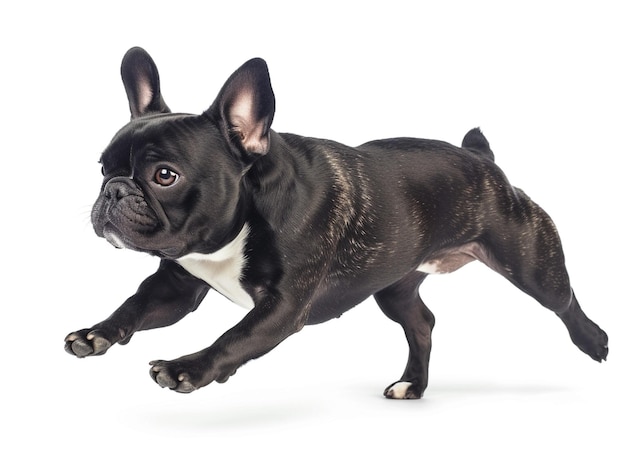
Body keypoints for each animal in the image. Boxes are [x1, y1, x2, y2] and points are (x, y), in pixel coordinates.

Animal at [66, 47, 608, 398]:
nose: (114, 190)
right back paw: (413, 384)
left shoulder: (283, 307)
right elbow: (136, 305)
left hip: (529, 259)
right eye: (103, 169)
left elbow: (234, 338)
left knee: (563, 300)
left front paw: (188, 368)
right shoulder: (177, 285)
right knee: (422, 322)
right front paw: (97, 333)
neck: (237, 227)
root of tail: (482, 160)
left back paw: (594, 341)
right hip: (393, 286)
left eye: (165, 176)